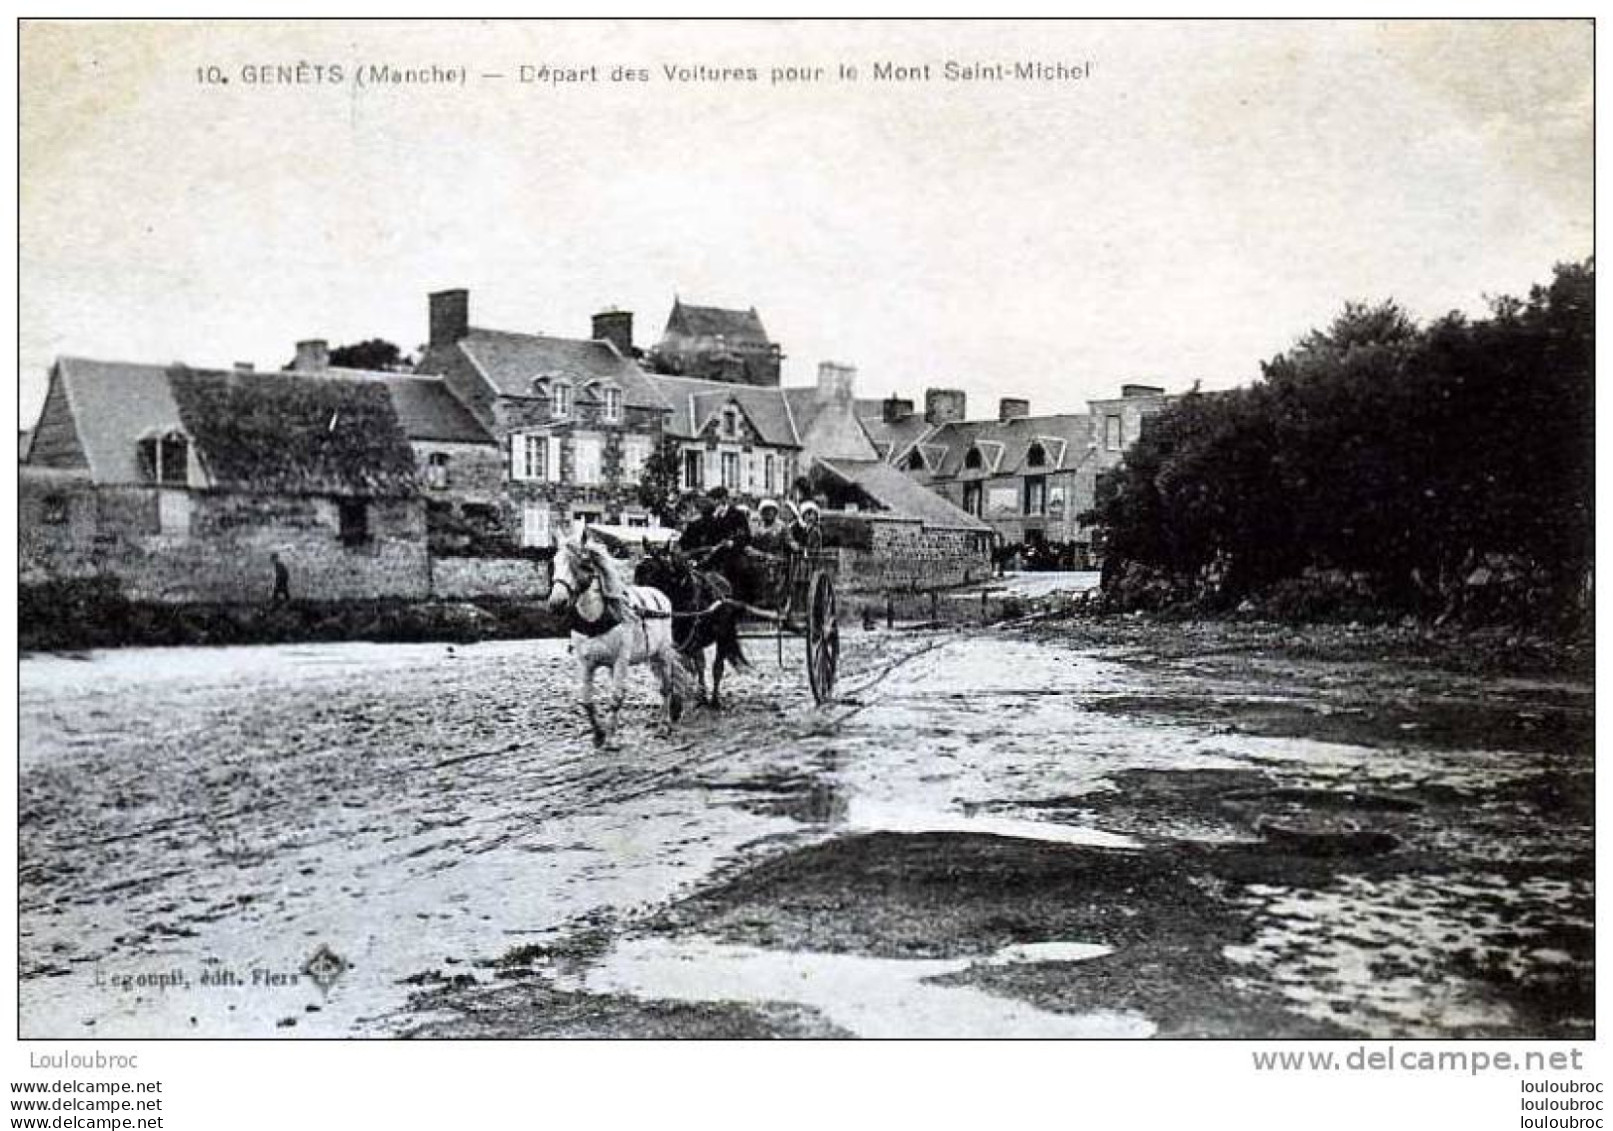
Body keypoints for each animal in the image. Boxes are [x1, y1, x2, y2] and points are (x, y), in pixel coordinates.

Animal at [548, 532, 693, 745]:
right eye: (555, 562)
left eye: (583, 564)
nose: (557, 603)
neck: (596, 620)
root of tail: (659, 594)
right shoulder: (586, 663)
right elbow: (587, 701)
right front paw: (599, 734)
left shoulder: (621, 660)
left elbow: (616, 697)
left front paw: (609, 736)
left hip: (663, 653)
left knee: (666, 687)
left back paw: (663, 725)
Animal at [635, 545, 748, 706]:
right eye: (637, 570)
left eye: (654, 571)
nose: (638, 607)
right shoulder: (679, 643)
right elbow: (684, 668)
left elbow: (709, 667)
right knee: (699, 664)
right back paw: (700, 694)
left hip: (722, 636)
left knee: (715, 666)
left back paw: (712, 698)